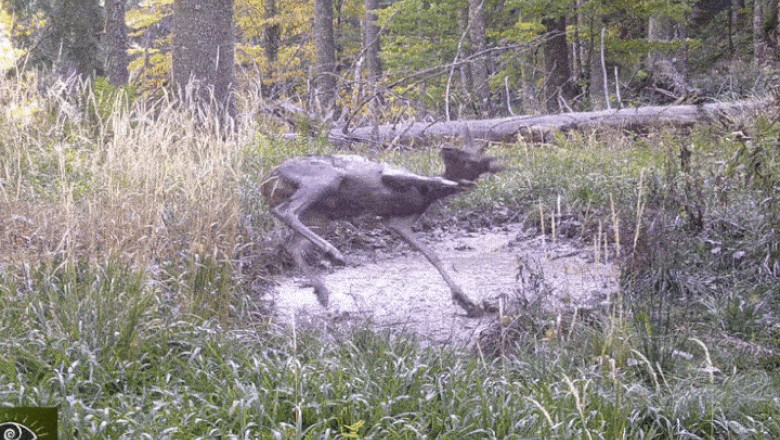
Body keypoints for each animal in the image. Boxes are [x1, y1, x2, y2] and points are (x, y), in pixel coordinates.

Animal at [260, 143, 506, 318]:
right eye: (467, 156)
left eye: (473, 158)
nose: (446, 147)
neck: (425, 196)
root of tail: (266, 180)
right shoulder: (391, 175)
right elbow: (431, 178)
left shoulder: (398, 222)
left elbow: (431, 254)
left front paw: (466, 300)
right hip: (325, 178)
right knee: (286, 211)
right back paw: (334, 254)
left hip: (320, 215)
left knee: (292, 243)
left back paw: (323, 293)